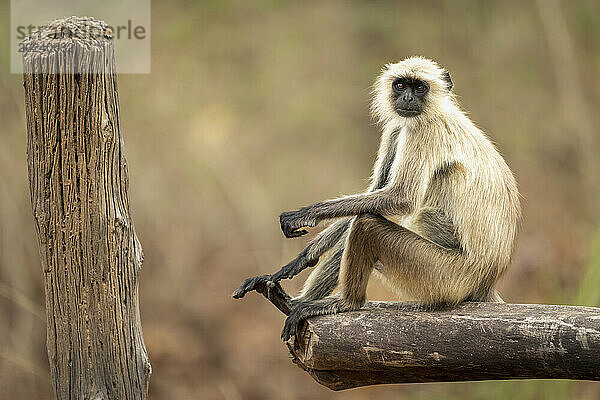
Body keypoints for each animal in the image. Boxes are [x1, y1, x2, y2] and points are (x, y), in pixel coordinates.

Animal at [233, 56, 520, 342]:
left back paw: (346, 303)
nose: (407, 98)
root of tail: (487, 277)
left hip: (445, 276)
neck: (436, 110)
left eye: (419, 88)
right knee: (360, 222)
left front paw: (306, 214)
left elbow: (400, 198)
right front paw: (298, 261)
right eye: (401, 85)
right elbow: (375, 191)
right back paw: (293, 302)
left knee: (369, 224)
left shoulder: (422, 130)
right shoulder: (398, 127)